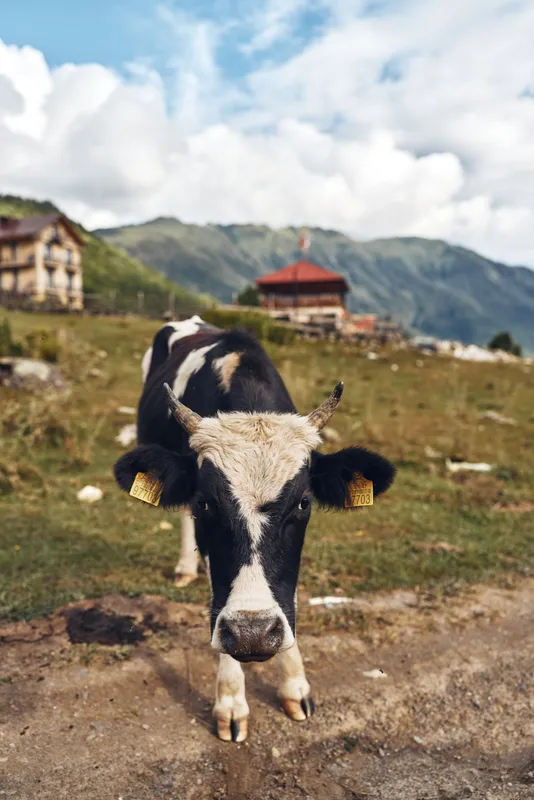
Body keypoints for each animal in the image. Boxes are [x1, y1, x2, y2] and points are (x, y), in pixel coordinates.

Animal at [114, 317, 395, 742]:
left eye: (303, 503)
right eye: (206, 503)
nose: (253, 634)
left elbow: (287, 593)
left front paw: (295, 685)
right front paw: (231, 701)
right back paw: (184, 568)